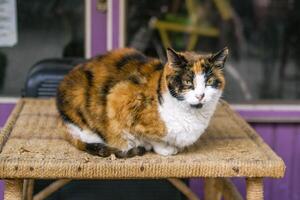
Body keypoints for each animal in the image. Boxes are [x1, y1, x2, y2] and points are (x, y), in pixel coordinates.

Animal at [56, 47, 227, 158]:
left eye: (209, 81)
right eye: (187, 81)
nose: (200, 95)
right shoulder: (118, 96)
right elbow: (150, 137)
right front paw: (165, 149)